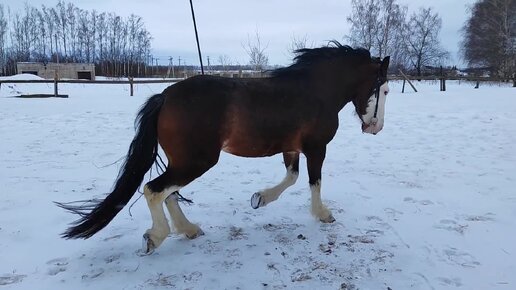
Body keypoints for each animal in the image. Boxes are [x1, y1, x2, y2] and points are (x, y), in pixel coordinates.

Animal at [58, 42, 390, 255]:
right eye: (385, 89)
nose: (376, 128)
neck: (315, 91)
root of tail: (165, 96)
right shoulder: (316, 148)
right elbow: (313, 181)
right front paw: (322, 214)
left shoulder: (291, 148)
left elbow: (291, 177)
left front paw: (259, 199)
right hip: (197, 161)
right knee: (155, 189)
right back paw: (156, 237)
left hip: (183, 160)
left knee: (169, 193)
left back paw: (189, 229)